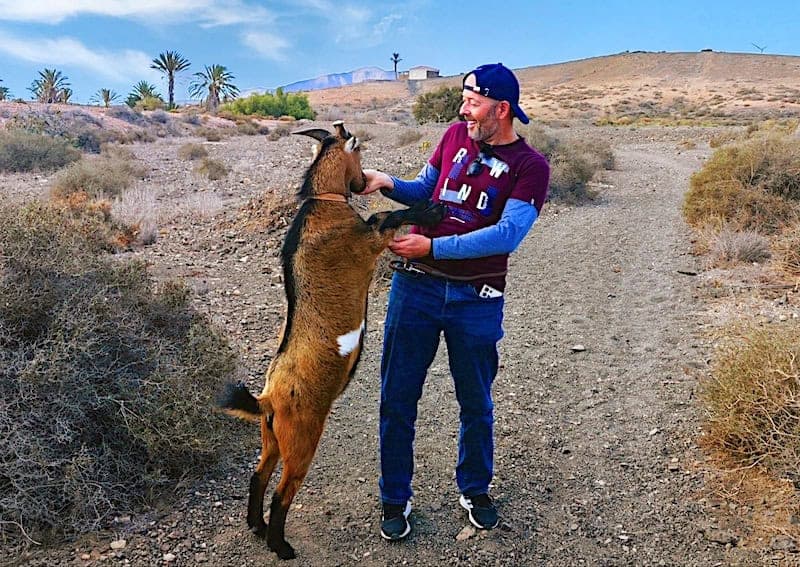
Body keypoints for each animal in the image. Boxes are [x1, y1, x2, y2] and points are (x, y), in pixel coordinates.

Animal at [219, 120, 444, 560]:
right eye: (360, 154)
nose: (364, 181)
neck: (324, 202)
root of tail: (267, 399)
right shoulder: (368, 241)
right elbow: (386, 214)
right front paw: (431, 209)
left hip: (272, 440)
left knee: (258, 476)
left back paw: (256, 527)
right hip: (301, 441)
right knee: (282, 493)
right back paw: (281, 546)